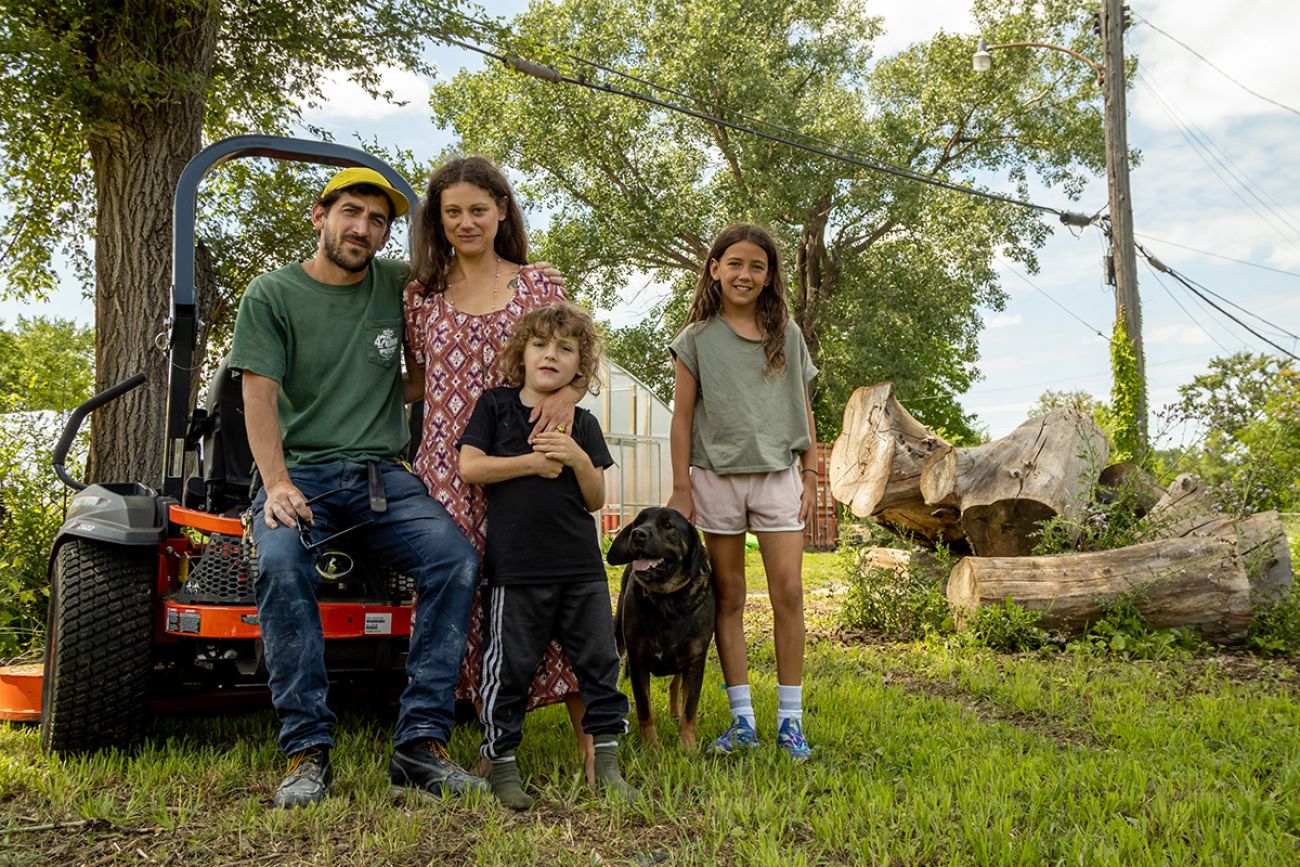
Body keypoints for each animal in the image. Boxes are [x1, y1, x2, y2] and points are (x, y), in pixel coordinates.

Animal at [605, 504, 717, 748]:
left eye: (668, 525)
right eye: (639, 520)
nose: (637, 534)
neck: (667, 600)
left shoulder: (695, 661)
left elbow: (690, 709)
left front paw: (687, 746)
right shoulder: (637, 660)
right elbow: (645, 710)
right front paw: (651, 747)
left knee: (676, 684)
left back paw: (675, 713)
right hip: (618, 635)